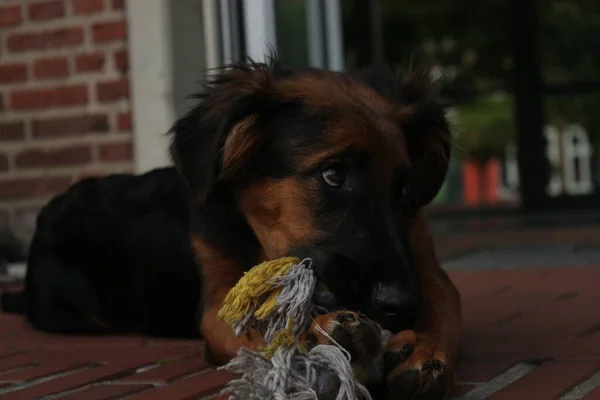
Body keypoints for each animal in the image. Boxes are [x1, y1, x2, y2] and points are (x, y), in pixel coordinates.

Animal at [0, 57, 462, 398]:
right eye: (333, 174)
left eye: (403, 189)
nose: (398, 304)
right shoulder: (217, 302)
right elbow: (258, 322)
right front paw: (325, 340)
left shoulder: (426, 268)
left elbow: (443, 308)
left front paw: (424, 351)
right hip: (72, 307)